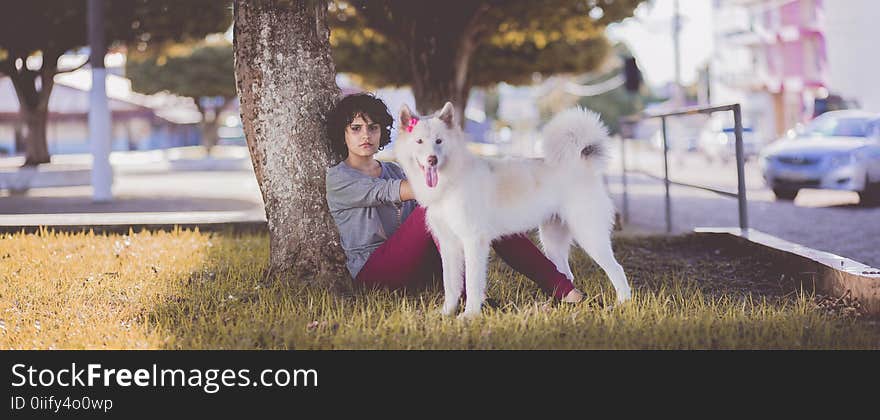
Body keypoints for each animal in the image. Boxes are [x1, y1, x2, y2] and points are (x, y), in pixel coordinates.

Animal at [394, 102, 632, 318]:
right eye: (419, 141)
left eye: (439, 141)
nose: (432, 159)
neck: (451, 181)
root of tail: (582, 164)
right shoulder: (449, 245)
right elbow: (451, 285)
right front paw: (446, 313)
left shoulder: (474, 242)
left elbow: (471, 284)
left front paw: (469, 315)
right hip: (553, 242)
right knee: (566, 274)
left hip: (590, 236)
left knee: (617, 270)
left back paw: (622, 304)